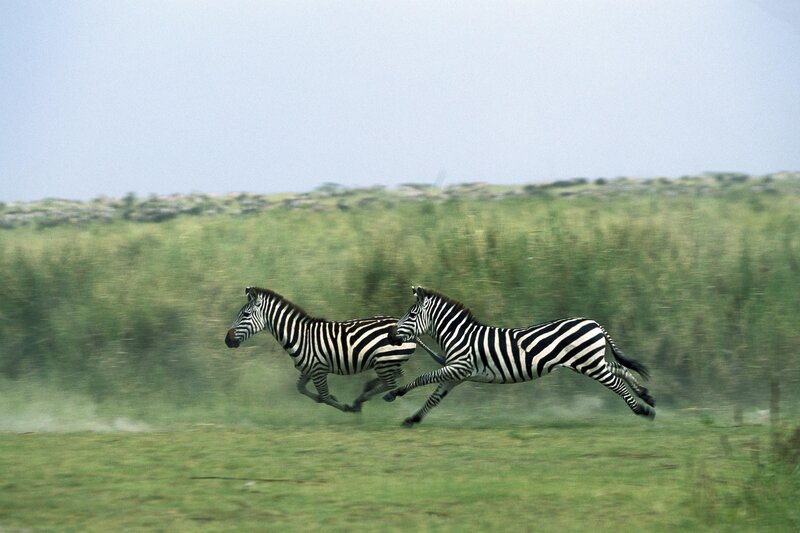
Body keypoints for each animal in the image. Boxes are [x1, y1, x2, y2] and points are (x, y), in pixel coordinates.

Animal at [225, 287, 444, 413]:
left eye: (245, 315)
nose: (227, 340)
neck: (299, 335)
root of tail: (413, 334)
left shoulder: (318, 369)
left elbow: (324, 396)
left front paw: (344, 406)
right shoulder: (308, 369)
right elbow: (301, 388)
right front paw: (328, 400)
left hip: (385, 359)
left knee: (390, 384)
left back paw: (359, 401)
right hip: (387, 360)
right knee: (393, 377)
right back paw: (364, 393)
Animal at [384, 287, 655, 427]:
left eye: (411, 315)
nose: (391, 335)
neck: (459, 335)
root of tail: (594, 323)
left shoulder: (459, 367)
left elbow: (423, 378)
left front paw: (394, 393)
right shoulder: (456, 374)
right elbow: (434, 397)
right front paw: (413, 418)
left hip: (589, 363)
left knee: (616, 382)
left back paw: (642, 410)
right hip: (590, 360)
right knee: (619, 369)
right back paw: (646, 396)